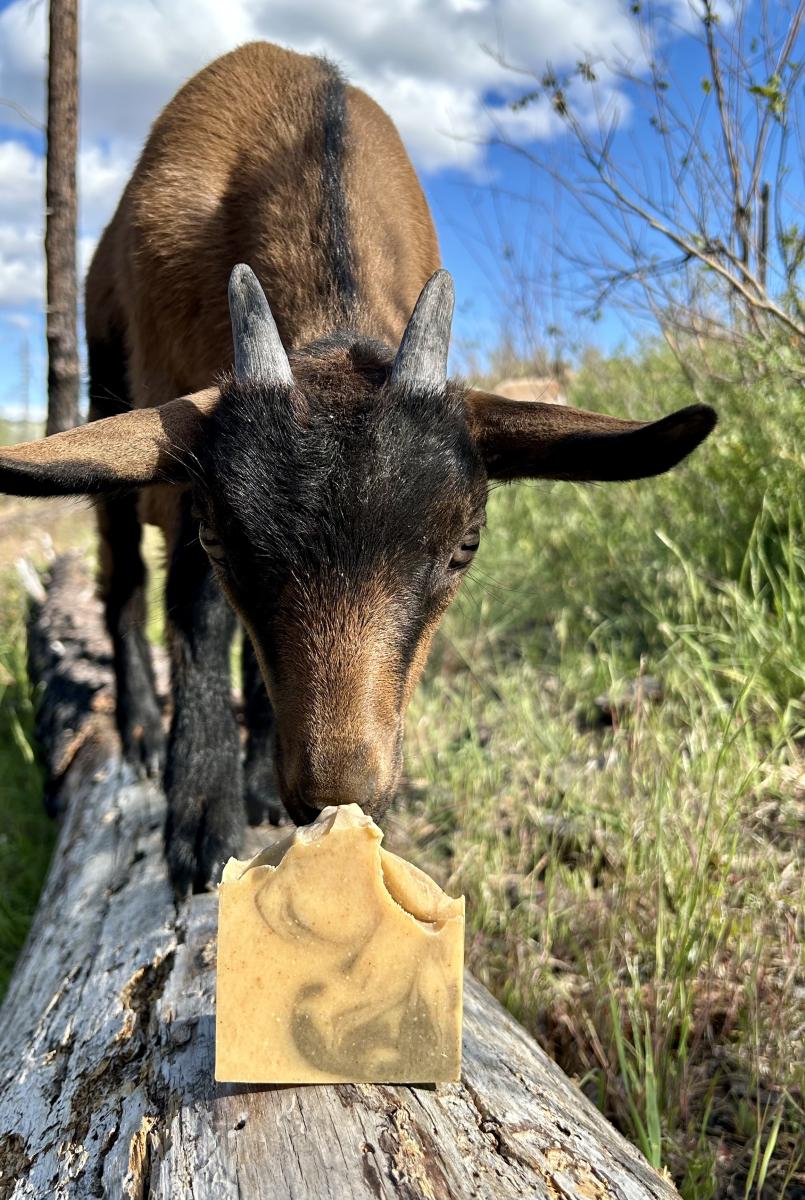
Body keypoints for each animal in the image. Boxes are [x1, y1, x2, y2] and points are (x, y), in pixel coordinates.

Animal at [0, 42, 716, 895]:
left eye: (464, 547)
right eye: (219, 540)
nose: (335, 793)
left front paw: (249, 780)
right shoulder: (182, 457)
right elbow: (197, 612)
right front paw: (201, 814)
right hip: (105, 392)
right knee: (123, 578)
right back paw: (141, 727)